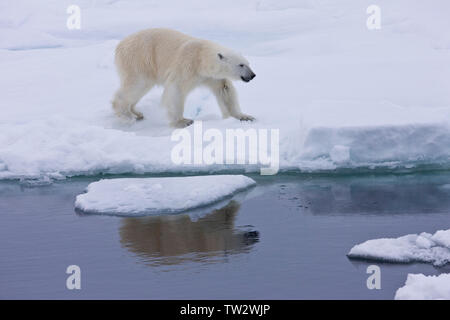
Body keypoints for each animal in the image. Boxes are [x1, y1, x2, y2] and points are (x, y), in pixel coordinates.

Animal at [111, 27, 255, 127]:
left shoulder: (211, 76)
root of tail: (119, 45)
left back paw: (136, 113)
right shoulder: (186, 65)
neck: (201, 57)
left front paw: (243, 117)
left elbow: (224, 90)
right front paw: (183, 121)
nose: (252, 75)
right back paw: (126, 115)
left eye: (248, 63)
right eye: (241, 65)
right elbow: (176, 90)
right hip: (139, 60)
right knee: (137, 85)